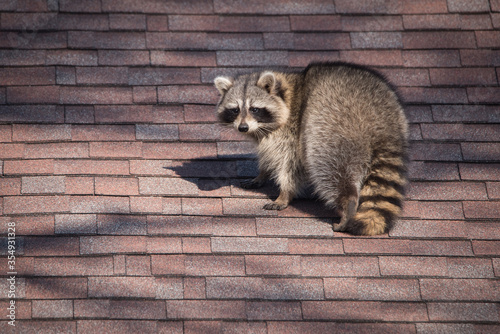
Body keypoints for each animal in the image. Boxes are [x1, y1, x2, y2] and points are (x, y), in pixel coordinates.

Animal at [213, 62, 408, 235]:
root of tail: (382, 119)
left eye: (254, 109)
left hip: (333, 126)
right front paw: (262, 174)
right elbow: (269, 155)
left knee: (329, 166)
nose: (242, 128)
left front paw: (285, 193)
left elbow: (290, 164)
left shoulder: (292, 131)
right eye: (235, 110)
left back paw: (349, 203)